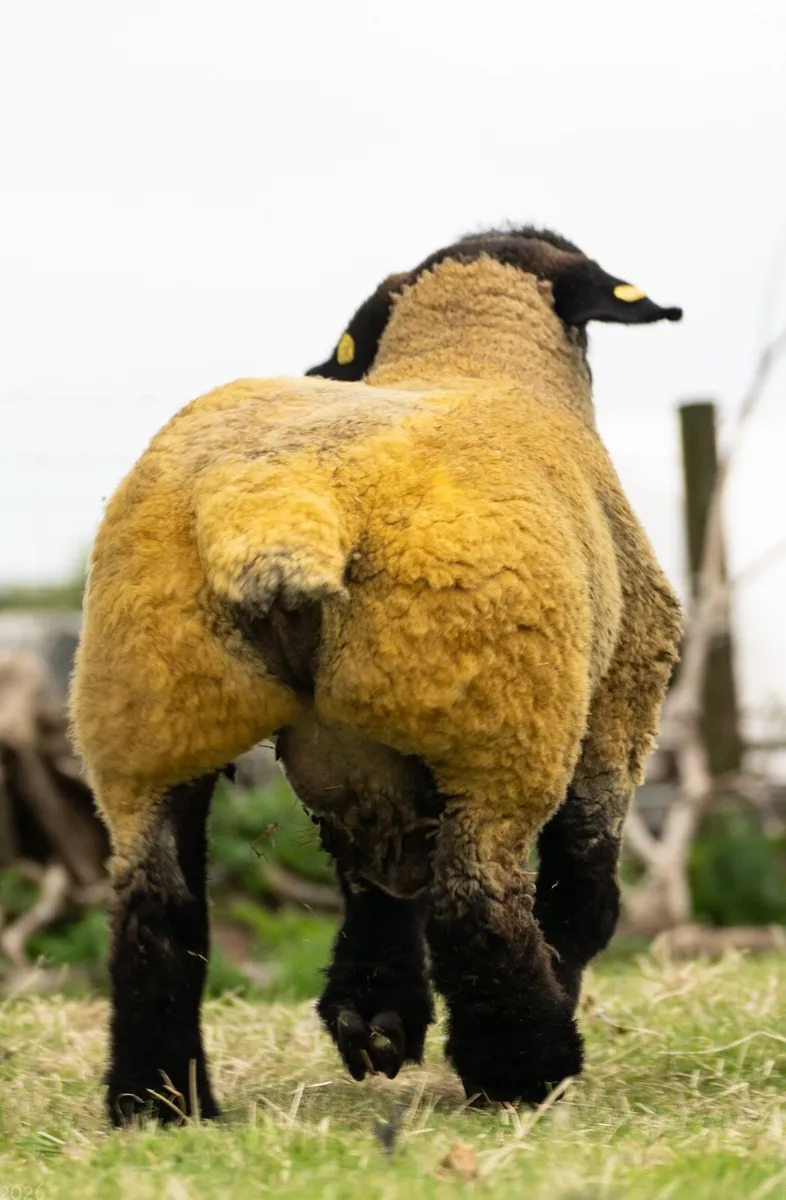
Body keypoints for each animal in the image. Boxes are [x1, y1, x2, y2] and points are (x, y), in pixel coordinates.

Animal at [69, 225, 683, 1125]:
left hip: (150, 720)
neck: (472, 351)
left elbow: (377, 887)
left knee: (156, 912)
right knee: (478, 905)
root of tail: (279, 515)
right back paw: (527, 1074)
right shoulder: (619, 698)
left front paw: (373, 1018)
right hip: (501, 725)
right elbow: (582, 889)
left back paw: (160, 1100)